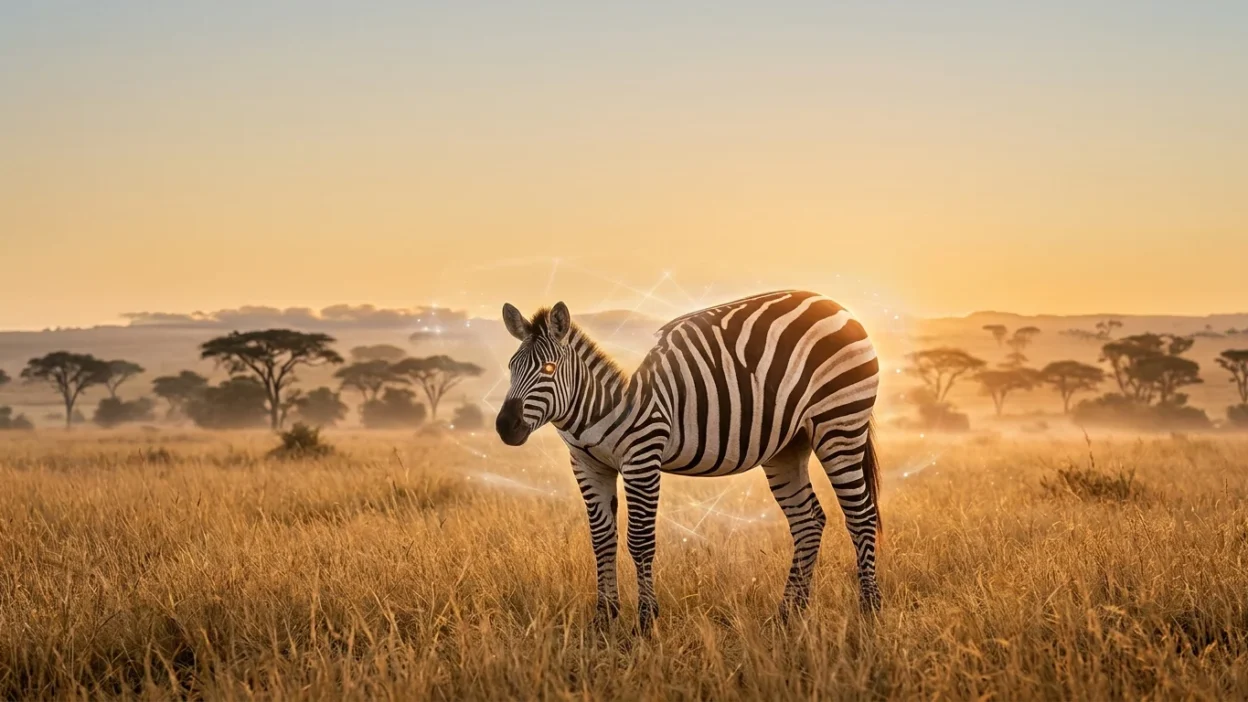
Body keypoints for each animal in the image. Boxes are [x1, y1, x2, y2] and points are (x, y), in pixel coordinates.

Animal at [495, 290, 882, 632]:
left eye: (548, 368)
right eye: (511, 367)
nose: (504, 426)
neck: (600, 404)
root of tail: (836, 306)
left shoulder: (642, 457)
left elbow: (639, 540)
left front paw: (645, 623)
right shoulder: (588, 466)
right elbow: (601, 540)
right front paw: (603, 620)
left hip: (840, 423)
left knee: (860, 515)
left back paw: (869, 610)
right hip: (788, 446)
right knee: (808, 521)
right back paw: (789, 614)